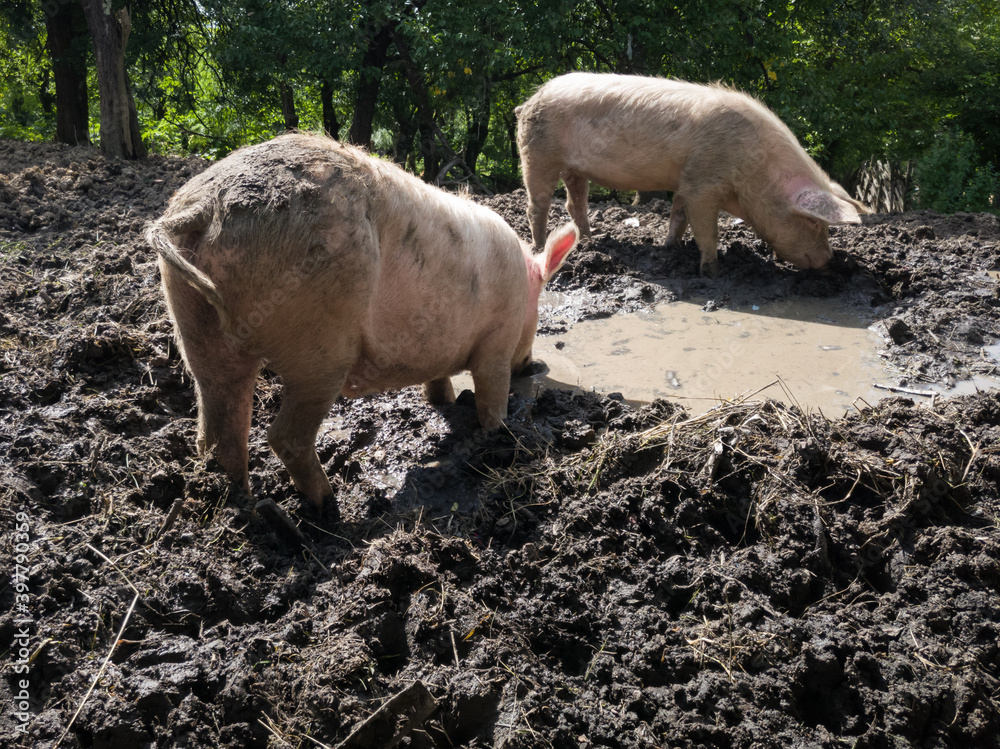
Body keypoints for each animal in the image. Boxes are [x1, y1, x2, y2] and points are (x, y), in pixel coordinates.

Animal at [146, 132, 578, 516]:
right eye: (537, 310)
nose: (534, 366)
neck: (523, 283)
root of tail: (204, 206)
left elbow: (438, 384)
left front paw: (446, 403)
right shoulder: (496, 344)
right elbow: (492, 396)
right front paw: (499, 434)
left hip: (194, 323)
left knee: (218, 426)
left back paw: (241, 503)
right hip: (320, 342)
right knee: (284, 436)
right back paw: (328, 507)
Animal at [515, 72, 870, 276]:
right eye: (814, 223)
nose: (829, 261)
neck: (754, 170)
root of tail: (528, 101)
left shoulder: (686, 182)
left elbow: (678, 216)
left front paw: (669, 248)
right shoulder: (703, 184)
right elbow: (705, 229)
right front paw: (712, 272)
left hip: (574, 168)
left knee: (574, 203)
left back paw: (590, 241)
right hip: (537, 152)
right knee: (537, 204)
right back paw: (540, 245)